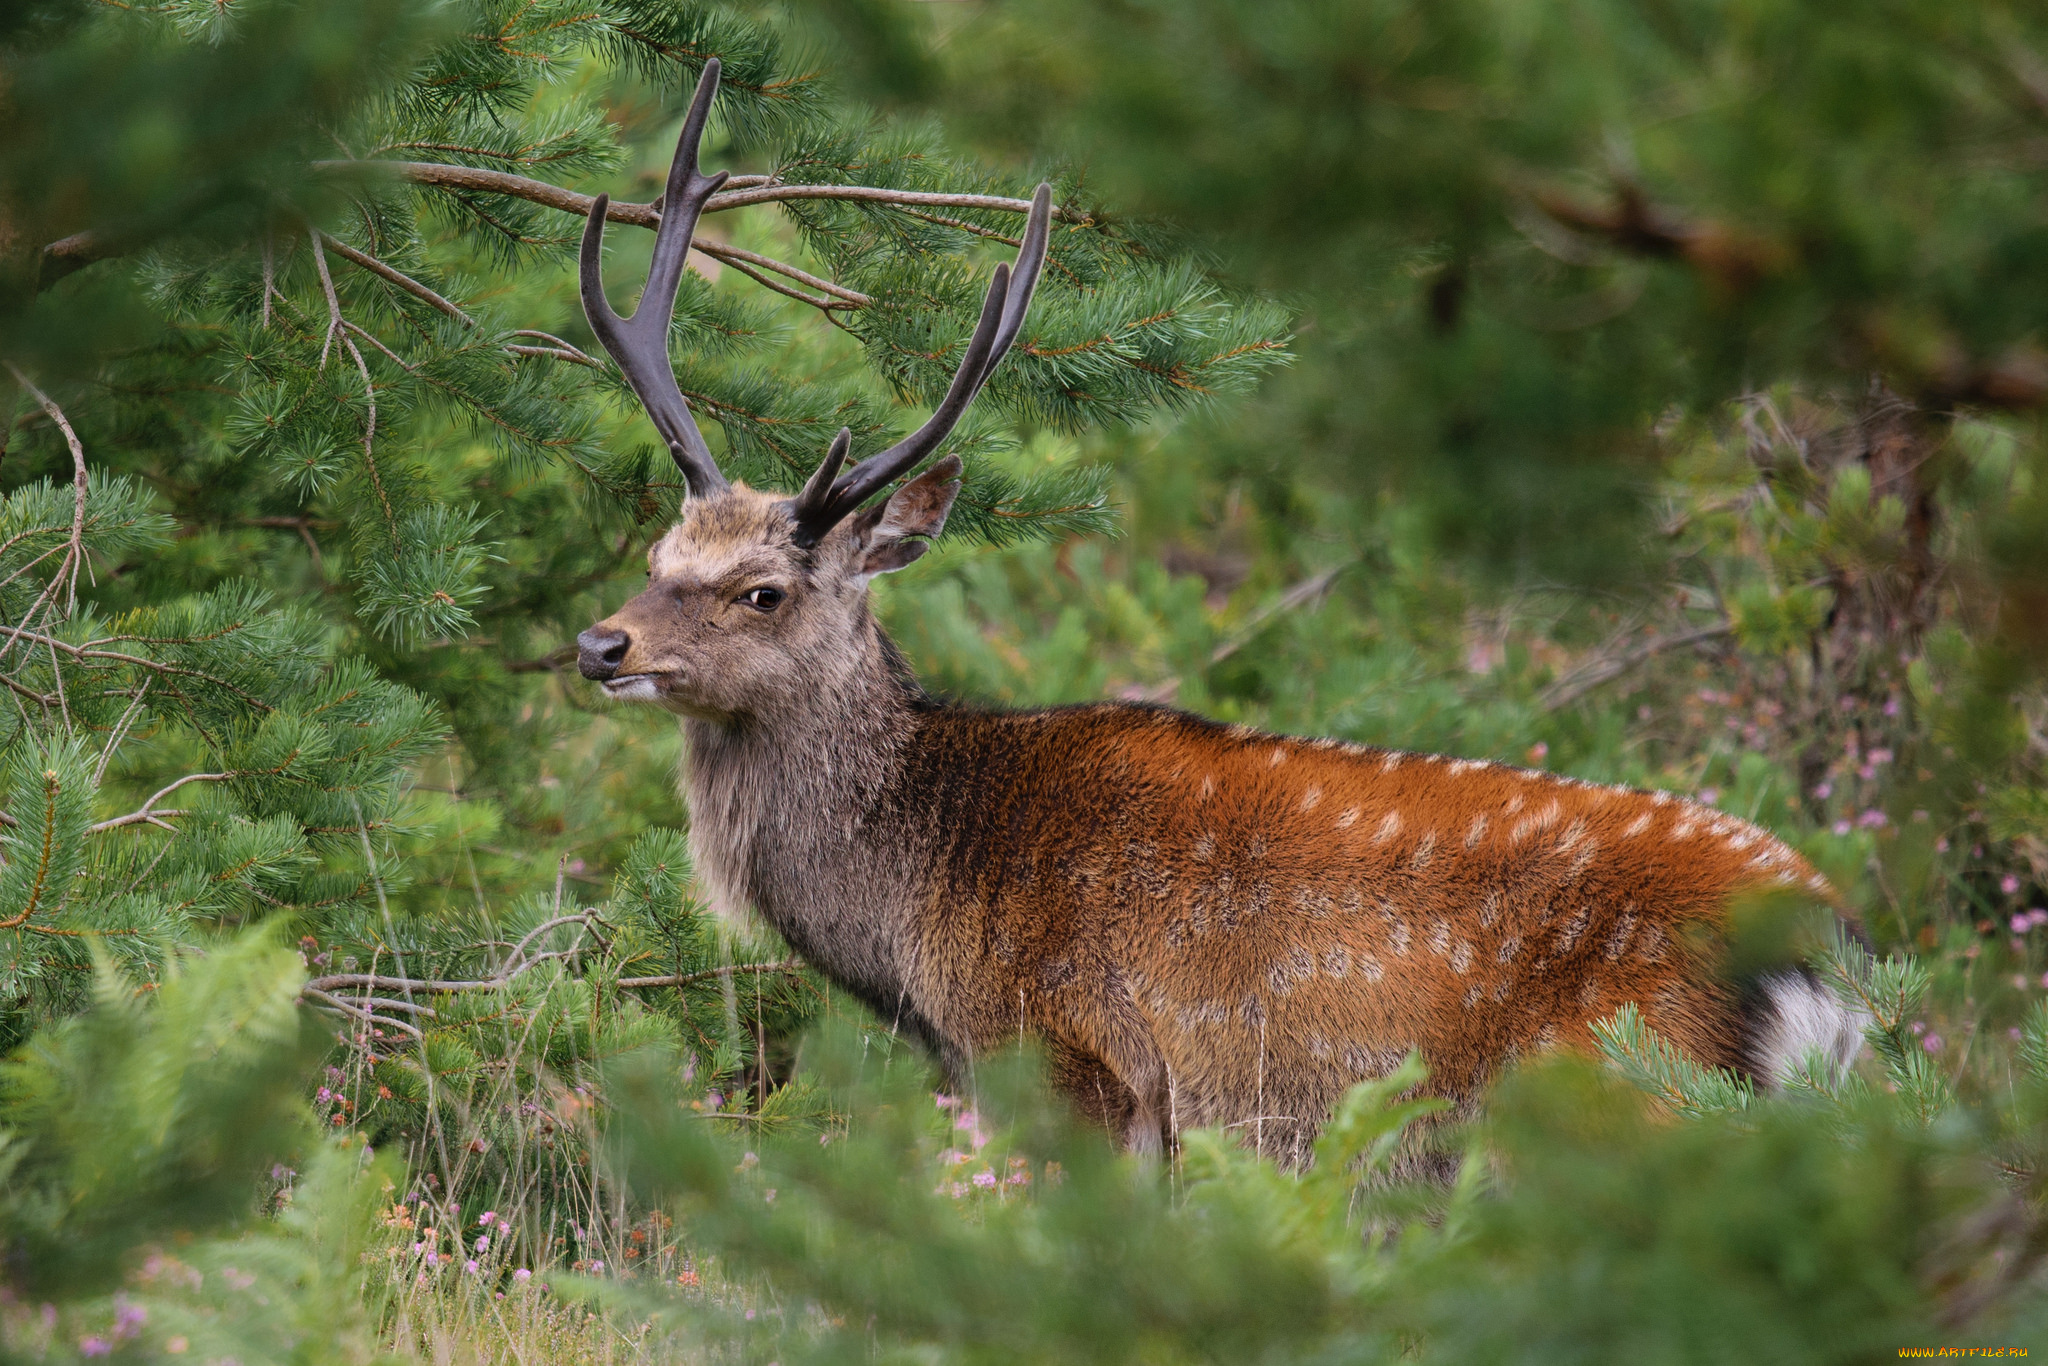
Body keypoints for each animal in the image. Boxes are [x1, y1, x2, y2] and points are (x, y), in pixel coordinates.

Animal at [569, 61, 1867, 1163]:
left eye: (761, 589)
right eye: (657, 552)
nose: (598, 643)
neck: (918, 931)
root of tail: (1828, 962)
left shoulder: (1081, 1060)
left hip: (1622, 1097)